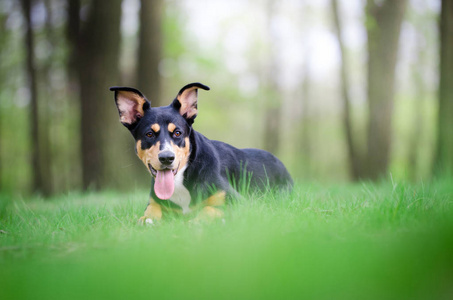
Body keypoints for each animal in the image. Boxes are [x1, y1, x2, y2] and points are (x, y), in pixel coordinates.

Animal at [110, 82, 294, 223]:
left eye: (177, 133)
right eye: (149, 134)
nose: (166, 158)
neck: (180, 181)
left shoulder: (240, 202)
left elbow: (210, 210)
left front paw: (198, 221)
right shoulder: (154, 202)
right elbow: (151, 210)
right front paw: (146, 219)